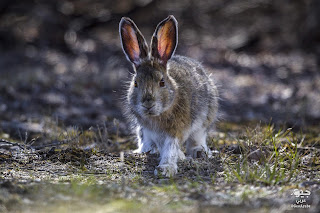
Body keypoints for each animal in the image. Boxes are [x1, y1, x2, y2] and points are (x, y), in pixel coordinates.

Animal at [119, 15, 219, 177]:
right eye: (135, 83)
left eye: (162, 82)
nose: (148, 103)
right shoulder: (149, 130)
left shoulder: (176, 130)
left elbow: (170, 148)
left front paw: (166, 168)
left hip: (206, 117)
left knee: (197, 138)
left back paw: (199, 152)